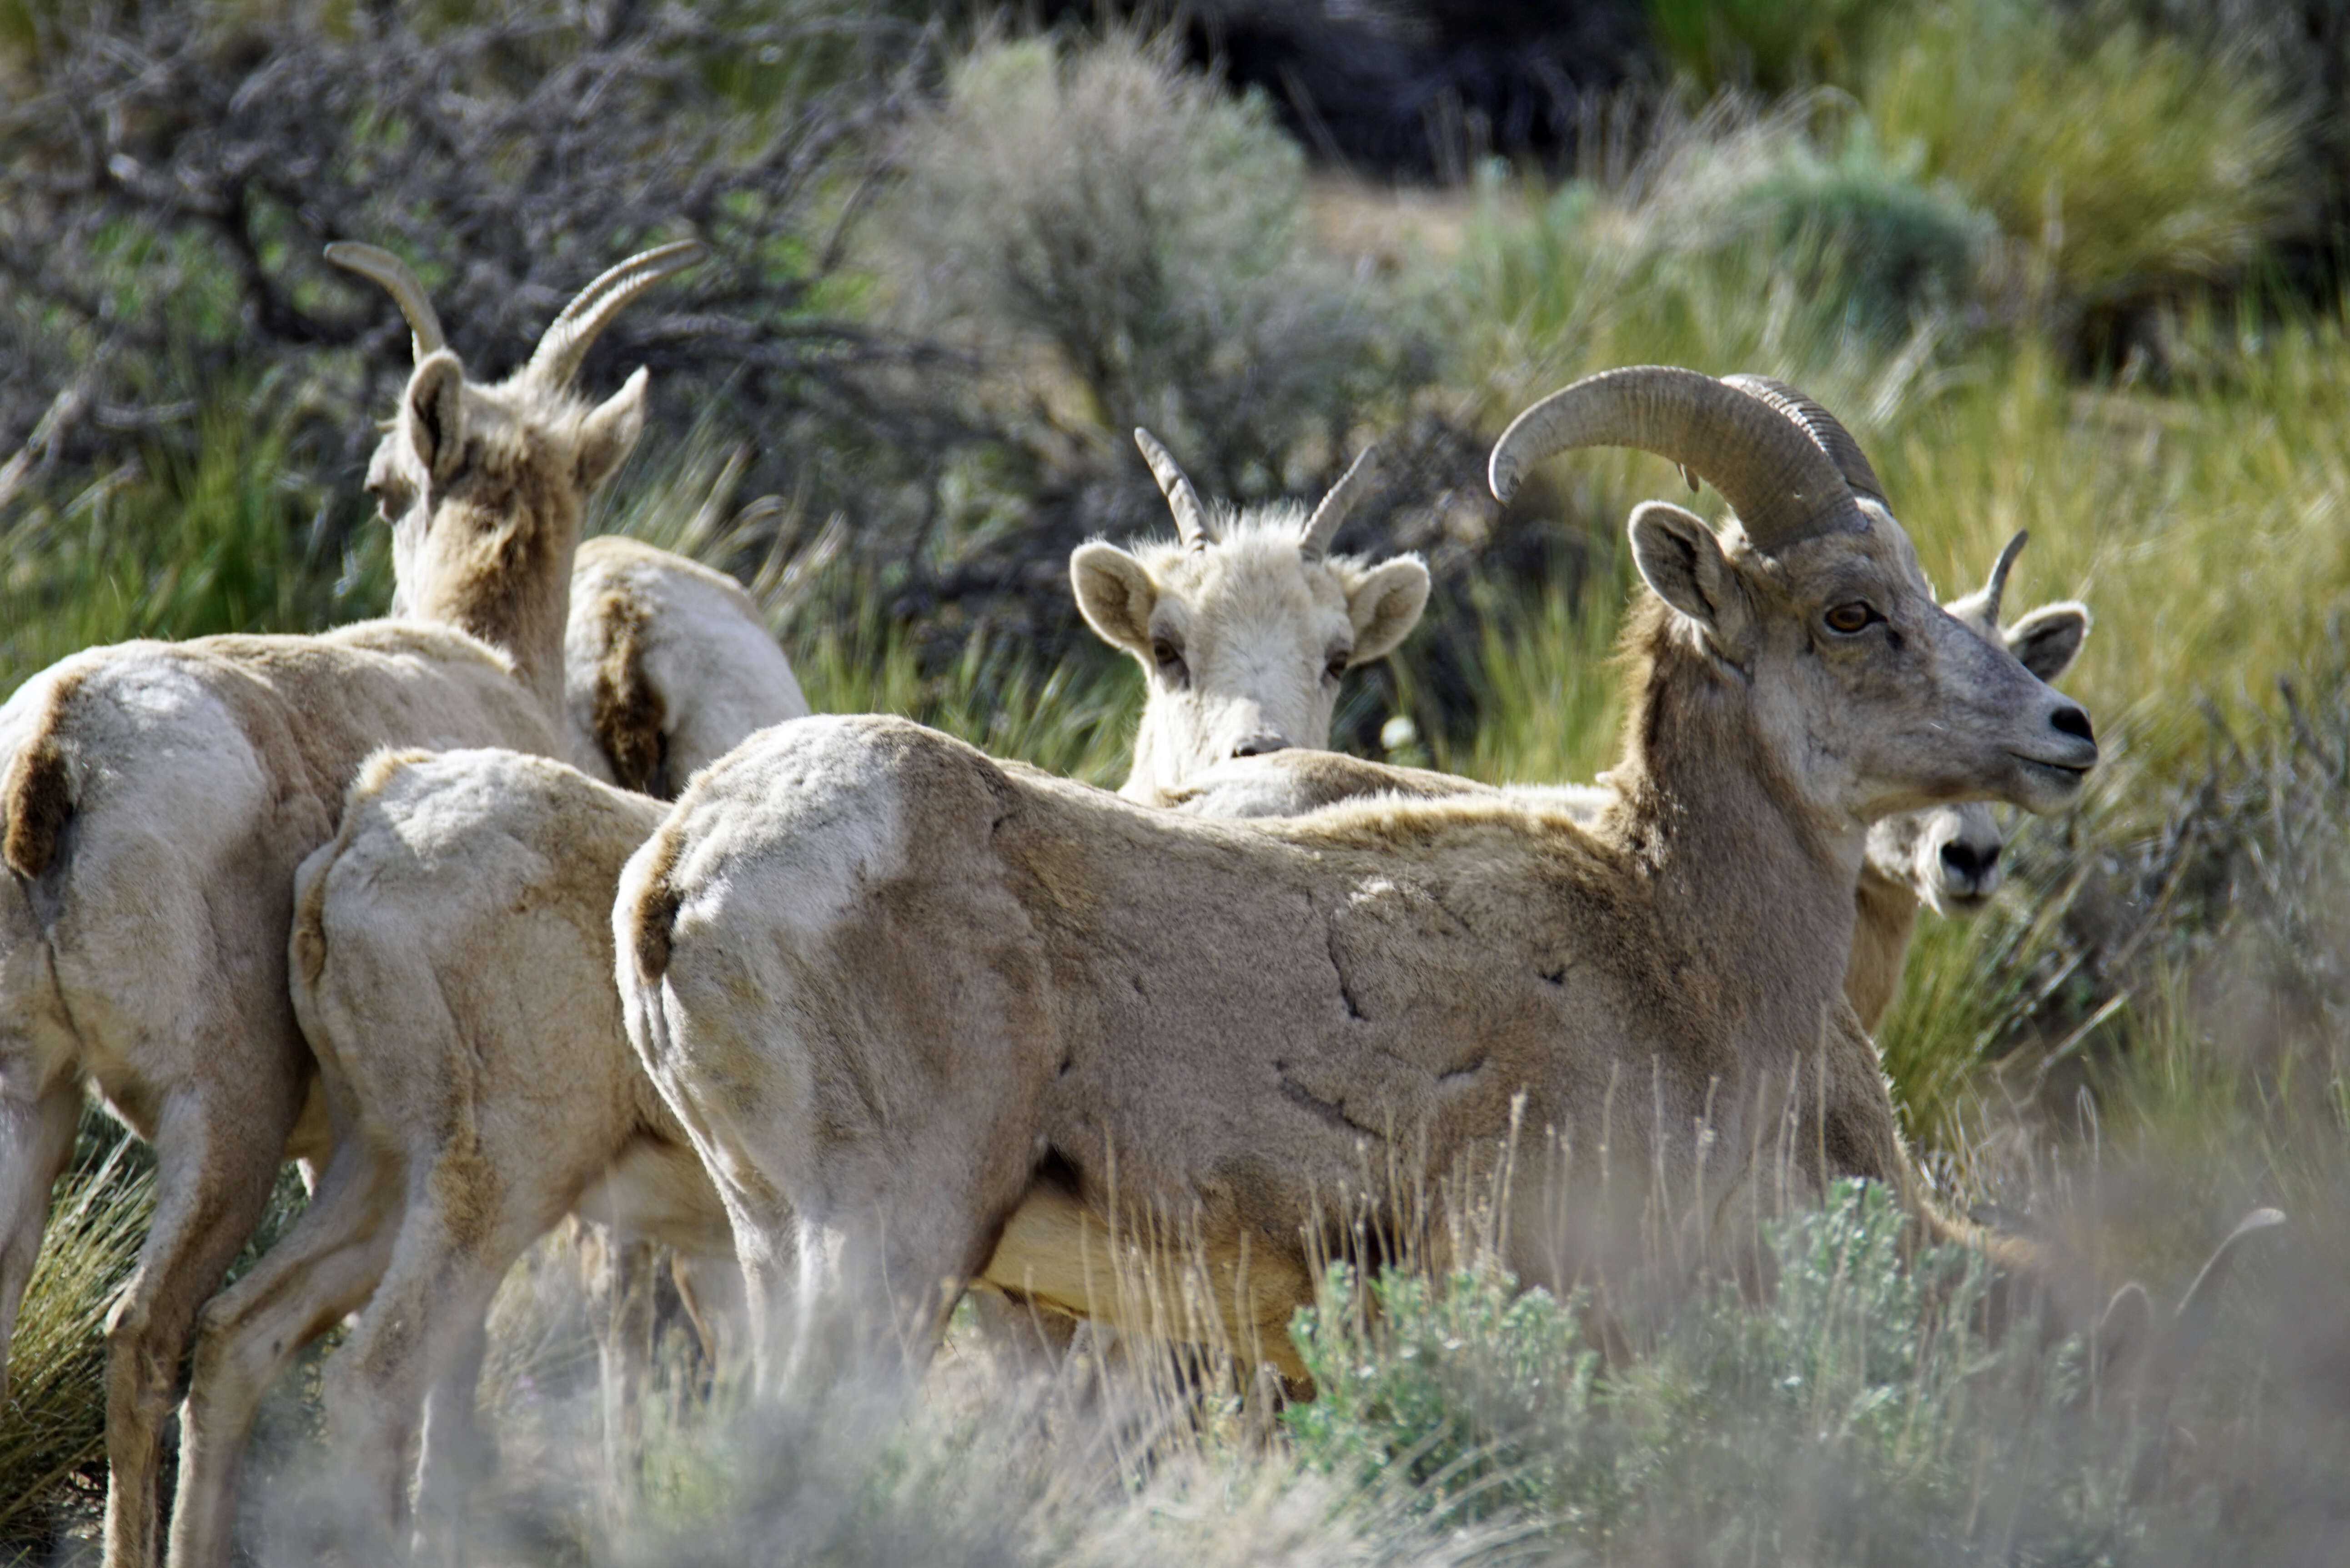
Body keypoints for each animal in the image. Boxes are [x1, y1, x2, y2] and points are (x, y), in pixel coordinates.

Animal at [0, 236, 695, 1568]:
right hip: (227, 1118)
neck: (482, 661)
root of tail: (61, 747)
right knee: (149, 1332)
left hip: (33, 1095)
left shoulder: (361, 1154)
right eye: (384, 488)